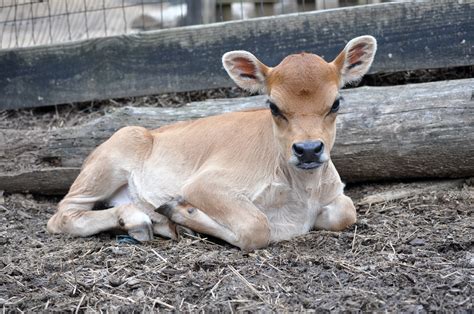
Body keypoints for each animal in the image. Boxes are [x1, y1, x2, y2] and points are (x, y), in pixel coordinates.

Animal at [46, 35, 376, 250]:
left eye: (335, 103)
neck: (302, 194)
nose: (308, 150)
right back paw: (141, 219)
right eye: (273, 106)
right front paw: (182, 212)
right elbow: (256, 227)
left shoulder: (335, 195)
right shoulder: (203, 183)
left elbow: (347, 211)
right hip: (112, 156)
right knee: (63, 215)